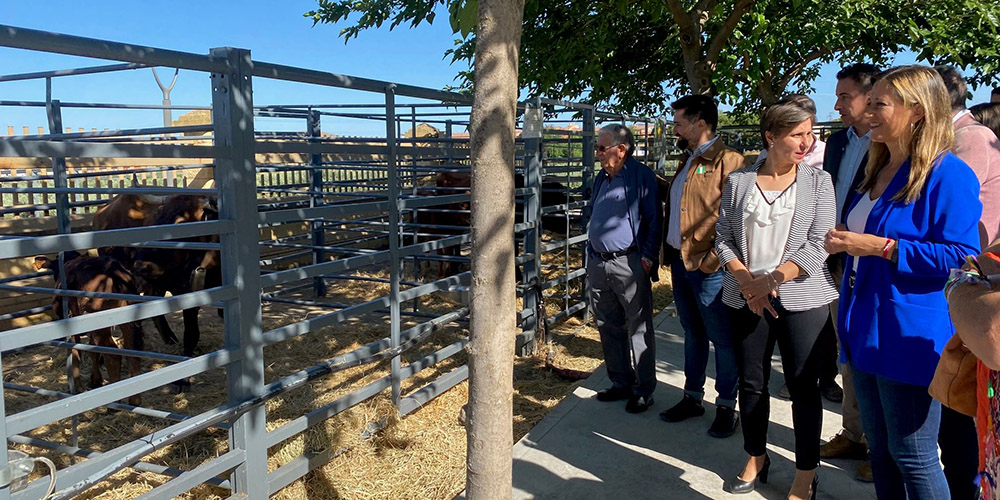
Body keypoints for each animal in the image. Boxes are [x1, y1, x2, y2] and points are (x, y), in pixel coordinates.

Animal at [34, 254, 144, 406]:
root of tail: (114, 271)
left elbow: (75, 353)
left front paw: (77, 387)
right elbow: (93, 351)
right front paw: (95, 380)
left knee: (113, 354)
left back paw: (114, 403)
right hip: (129, 321)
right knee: (132, 350)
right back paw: (134, 399)